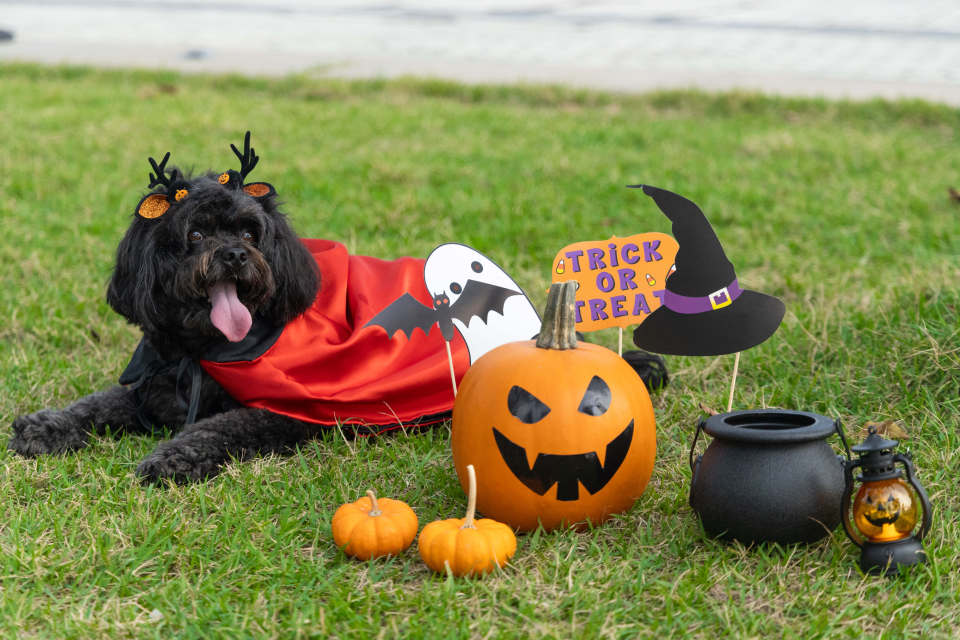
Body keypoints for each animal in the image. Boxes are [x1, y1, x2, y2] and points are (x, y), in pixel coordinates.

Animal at [8, 136, 322, 484]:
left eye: (249, 234)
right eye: (195, 234)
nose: (236, 254)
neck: (202, 349)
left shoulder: (288, 411)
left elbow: (223, 426)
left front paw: (176, 456)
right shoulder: (157, 384)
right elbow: (100, 402)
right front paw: (47, 425)